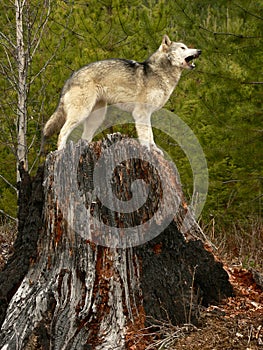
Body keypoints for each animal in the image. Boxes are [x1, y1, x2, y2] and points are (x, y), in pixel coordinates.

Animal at [43, 34, 202, 152]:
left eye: (187, 47)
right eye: (183, 47)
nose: (200, 50)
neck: (159, 72)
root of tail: (70, 78)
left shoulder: (147, 113)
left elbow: (150, 135)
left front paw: (155, 150)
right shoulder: (141, 112)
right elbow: (146, 136)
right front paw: (148, 151)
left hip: (96, 118)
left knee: (84, 138)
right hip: (81, 113)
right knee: (62, 132)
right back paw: (61, 152)